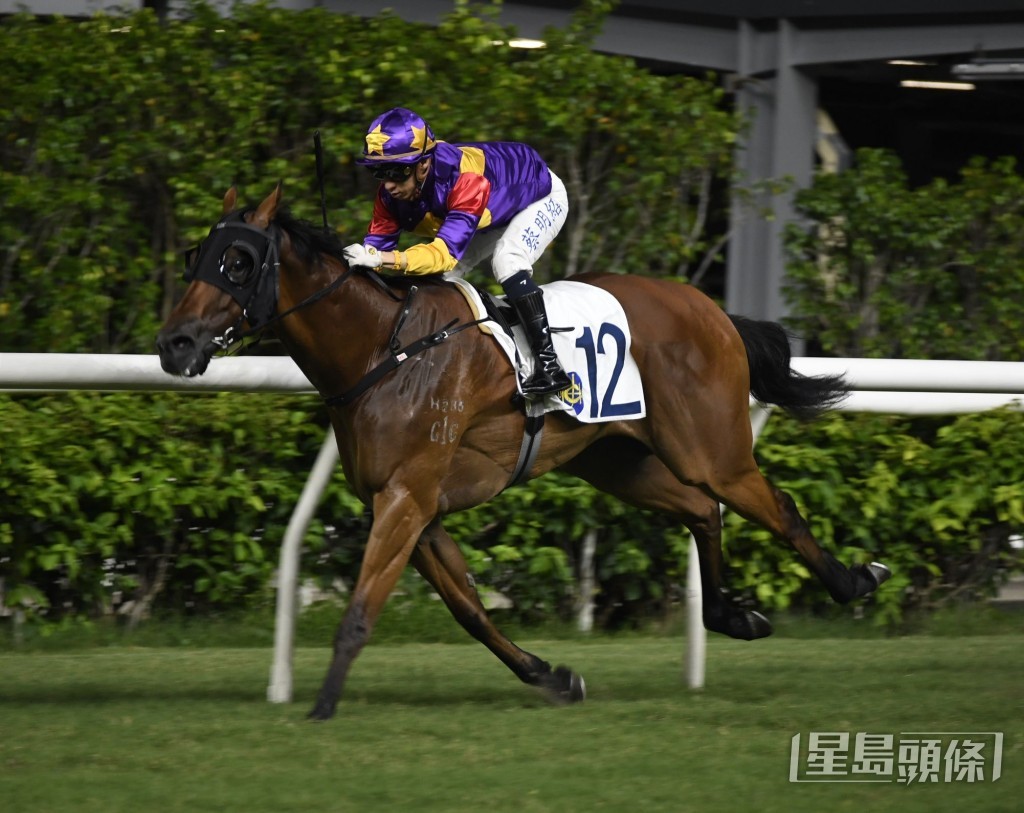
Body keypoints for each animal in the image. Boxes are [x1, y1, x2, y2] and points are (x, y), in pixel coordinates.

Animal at [156, 184, 890, 721]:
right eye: (196, 256)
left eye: (239, 262)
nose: (175, 344)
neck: (381, 349)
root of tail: (711, 309)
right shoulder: (415, 507)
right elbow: (470, 609)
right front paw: (555, 676)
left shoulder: (406, 497)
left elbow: (361, 610)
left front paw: (322, 707)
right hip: (619, 460)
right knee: (700, 510)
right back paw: (732, 614)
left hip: (712, 449)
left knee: (774, 505)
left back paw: (854, 580)